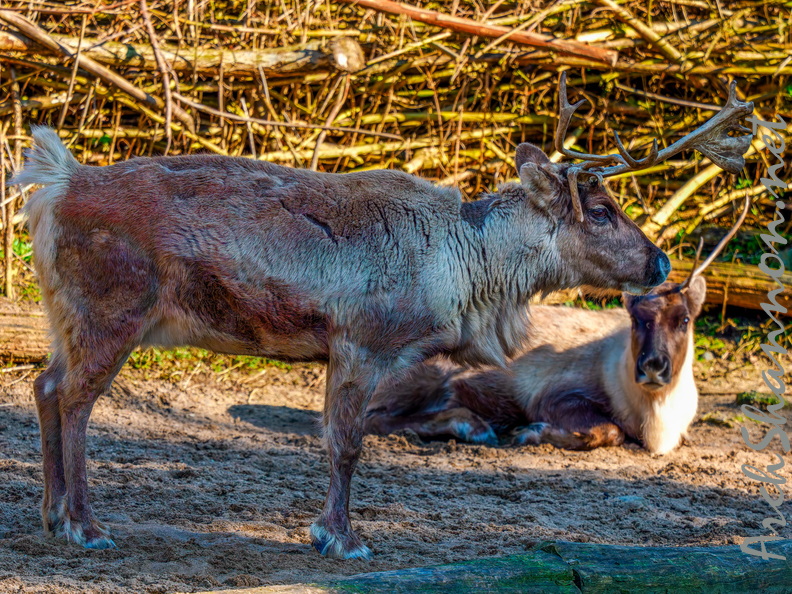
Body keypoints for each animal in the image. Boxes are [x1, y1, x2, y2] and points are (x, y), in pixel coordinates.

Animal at [365, 198, 751, 455]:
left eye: (684, 319)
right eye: (636, 318)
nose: (653, 366)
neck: (656, 423)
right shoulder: (553, 396)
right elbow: (609, 430)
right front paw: (531, 431)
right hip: (420, 376)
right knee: (377, 418)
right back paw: (473, 427)